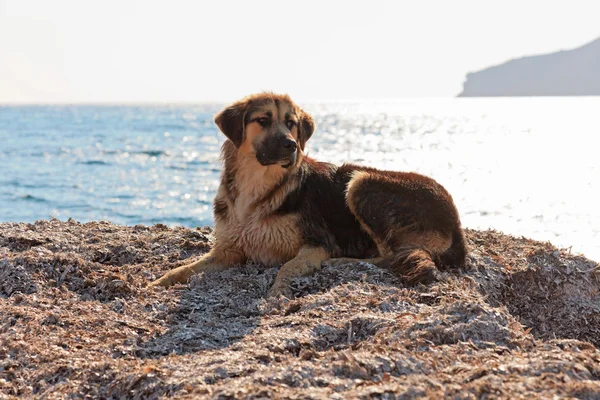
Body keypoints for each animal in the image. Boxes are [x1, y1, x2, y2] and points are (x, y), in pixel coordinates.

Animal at [148, 93, 466, 296]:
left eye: (291, 123)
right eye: (263, 120)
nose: (291, 145)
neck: (259, 187)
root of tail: (456, 224)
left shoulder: (317, 243)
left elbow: (287, 268)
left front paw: (279, 293)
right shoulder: (228, 250)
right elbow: (182, 269)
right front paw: (156, 283)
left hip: (360, 181)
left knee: (389, 255)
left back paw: (342, 262)